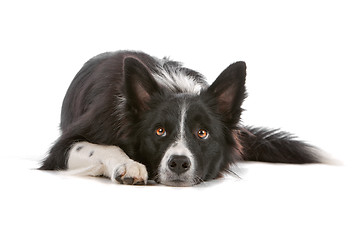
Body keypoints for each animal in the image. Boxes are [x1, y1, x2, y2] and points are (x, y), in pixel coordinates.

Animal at [40, 50, 320, 186]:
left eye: (202, 133)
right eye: (159, 131)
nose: (178, 164)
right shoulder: (62, 148)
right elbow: (103, 147)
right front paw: (128, 165)